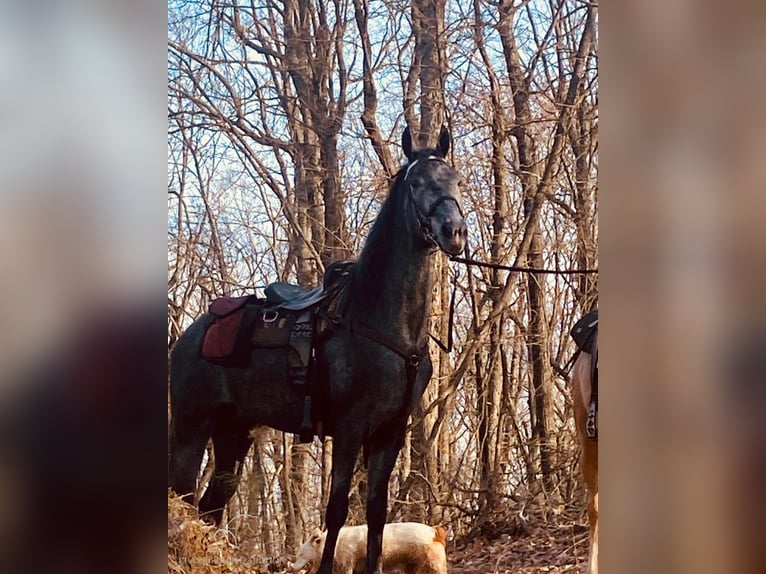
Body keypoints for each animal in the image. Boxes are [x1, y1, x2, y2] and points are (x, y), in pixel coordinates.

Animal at [170, 127, 468, 574]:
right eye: (416, 183)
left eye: (455, 181)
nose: (455, 232)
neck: (383, 324)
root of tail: (189, 335)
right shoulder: (349, 428)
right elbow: (337, 511)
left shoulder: (390, 432)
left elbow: (376, 513)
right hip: (191, 427)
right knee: (183, 499)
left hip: (234, 435)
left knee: (209, 507)